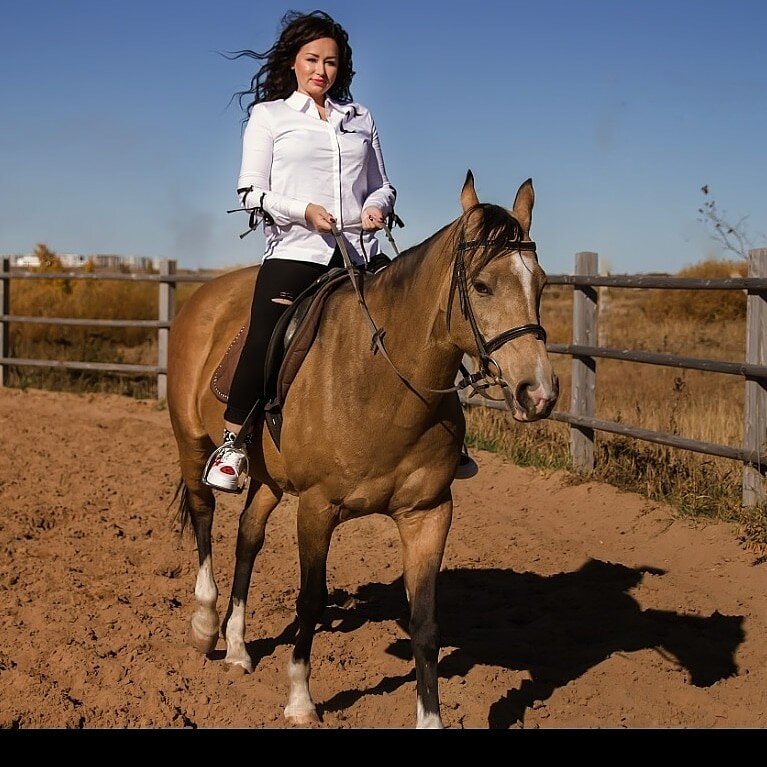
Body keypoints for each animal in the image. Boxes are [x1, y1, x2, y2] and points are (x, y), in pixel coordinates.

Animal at [168, 171, 560, 728]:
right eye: (482, 286)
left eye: (541, 284)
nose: (538, 392)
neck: (381, 382)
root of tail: (205, 296)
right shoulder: (317, 508)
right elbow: (310, 600)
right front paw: (300, 699)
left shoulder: (428, 513)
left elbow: (425, 622)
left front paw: (430, 719)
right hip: (190, 441)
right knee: (205, 518)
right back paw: (205, 627)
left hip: (268, 478)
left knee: (248, 536)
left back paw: (239, 647)